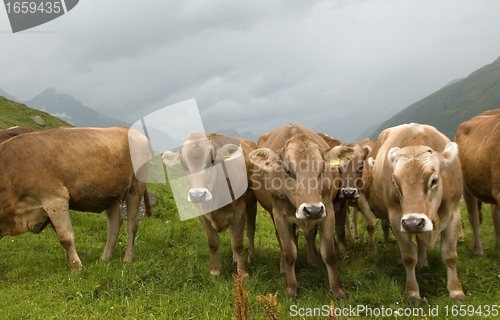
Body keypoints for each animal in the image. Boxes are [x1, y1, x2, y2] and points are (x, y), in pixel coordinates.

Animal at [0, 127, 150, 270]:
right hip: (111, 194)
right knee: (114, 223)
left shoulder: (56, 199)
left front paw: (76, 267)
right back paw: (105, 258)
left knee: (132, 224)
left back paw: (127, 259)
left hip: (136, 187)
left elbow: (65, 238)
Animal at [249, 124, 346, 298]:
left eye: (322, 169)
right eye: (288, 171)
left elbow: (329, 253)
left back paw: (312, 262)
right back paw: (283, 268)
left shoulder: (327, 210)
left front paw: (337, 289)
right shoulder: (279, 214)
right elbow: (289, 252)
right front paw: (290, 288)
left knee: (309, 236)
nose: (312, 209)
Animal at [364, 122, 464, 300]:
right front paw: (412, 292)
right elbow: (409, 256)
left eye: (434, 180)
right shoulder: (396, 217)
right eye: (395, 183)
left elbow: (450, 255)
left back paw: (423, 262)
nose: (413, 222)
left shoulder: (454, 213)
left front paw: (456, 290)